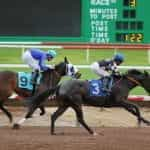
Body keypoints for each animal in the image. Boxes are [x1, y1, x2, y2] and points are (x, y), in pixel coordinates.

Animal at [13, 69, 150, 135]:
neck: (123, 83)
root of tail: (61, 85)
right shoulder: (119, 101)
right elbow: (136, 107)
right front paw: (140, 122)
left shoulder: (121, 103)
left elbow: (134, 110)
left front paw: (145, 121)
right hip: (76, 103)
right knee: (80, 118)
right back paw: (92, 132)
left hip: (65, 104)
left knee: (54, 116)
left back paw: (53, 132)